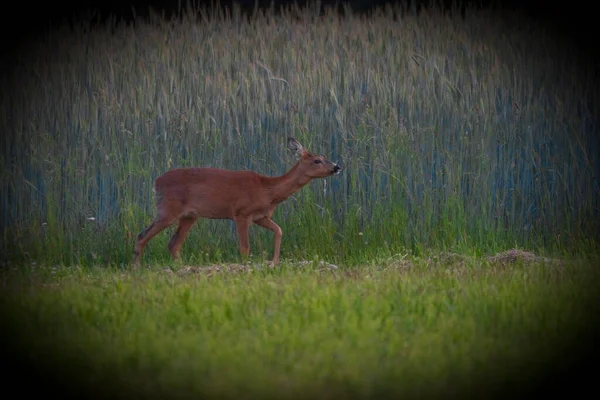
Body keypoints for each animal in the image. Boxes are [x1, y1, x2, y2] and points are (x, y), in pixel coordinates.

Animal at [134, 137, 342, 266]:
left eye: (324, 157)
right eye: (317, 160)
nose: (337, 167)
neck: (267, 190)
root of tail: (156, 182)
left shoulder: (260, 216)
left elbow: (279, 230)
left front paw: (274, 262)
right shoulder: (241, 213)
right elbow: (245, 247)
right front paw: (244, 268)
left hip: (189, 216)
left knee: (173, 244)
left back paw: (182, 268)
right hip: (168, 209)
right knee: (142, 235)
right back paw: (137, 268)